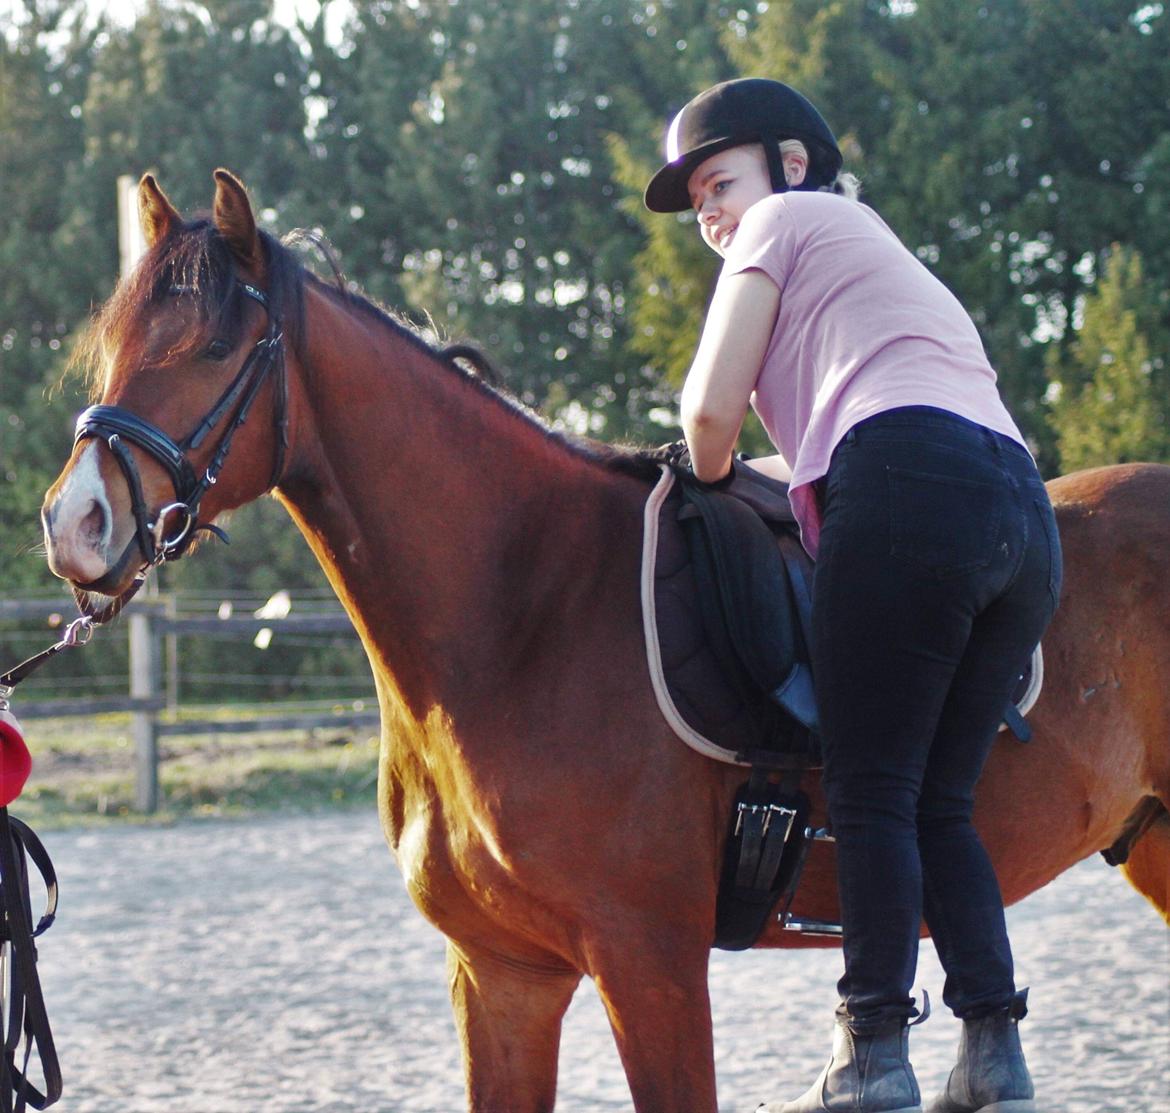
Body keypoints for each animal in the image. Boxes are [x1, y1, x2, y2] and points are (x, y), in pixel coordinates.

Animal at [38, 169, 1170, 1109]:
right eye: (116, 346)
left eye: (213, 349)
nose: (74, 524)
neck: (524, 614)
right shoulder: (502, 976)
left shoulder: (649, 962)